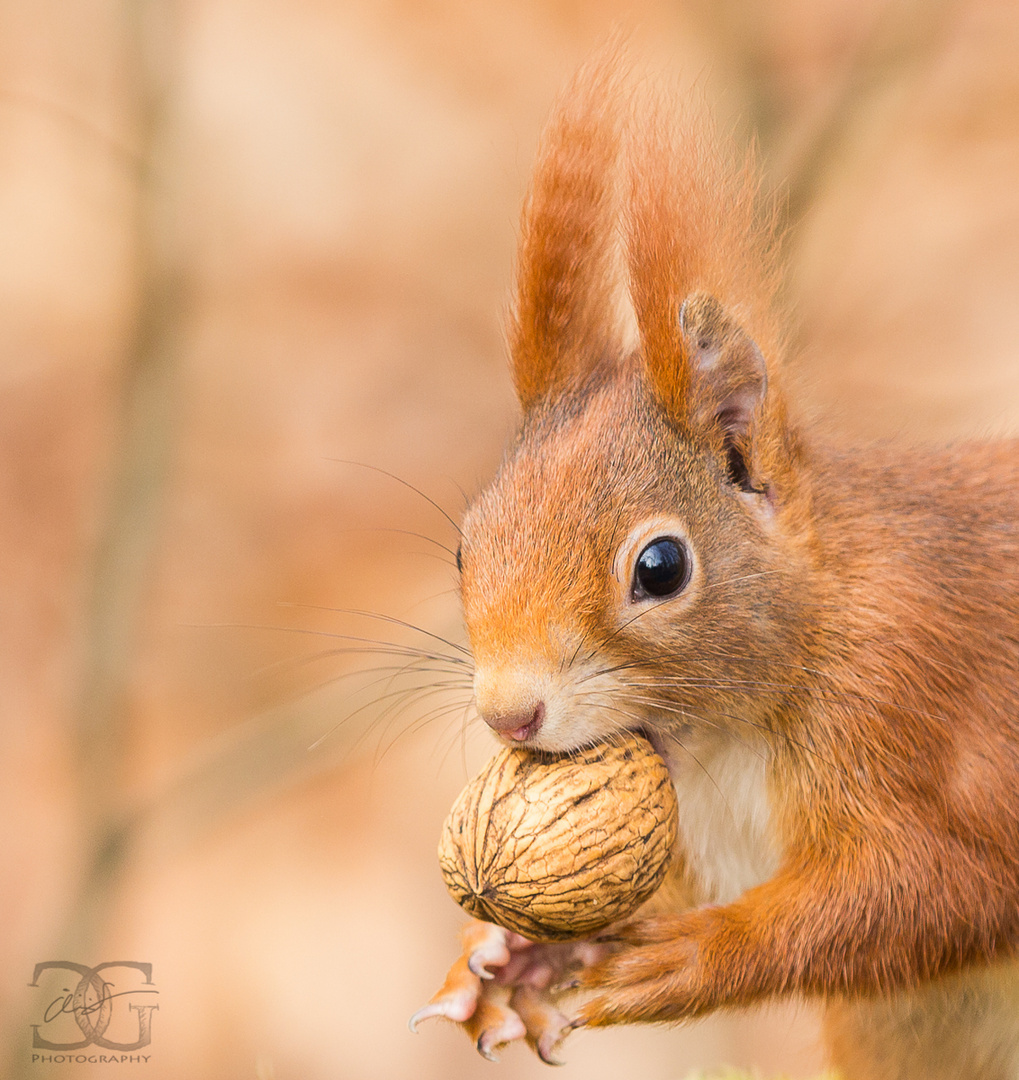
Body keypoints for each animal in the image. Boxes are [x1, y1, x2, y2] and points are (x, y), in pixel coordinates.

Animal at [405, 48, 1019, 1071]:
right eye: (465, 543)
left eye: (660, 568)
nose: (507, 715)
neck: (721, 735)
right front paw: (502, 954)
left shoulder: (913, 701)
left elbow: (936, 884)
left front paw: (693, 956)